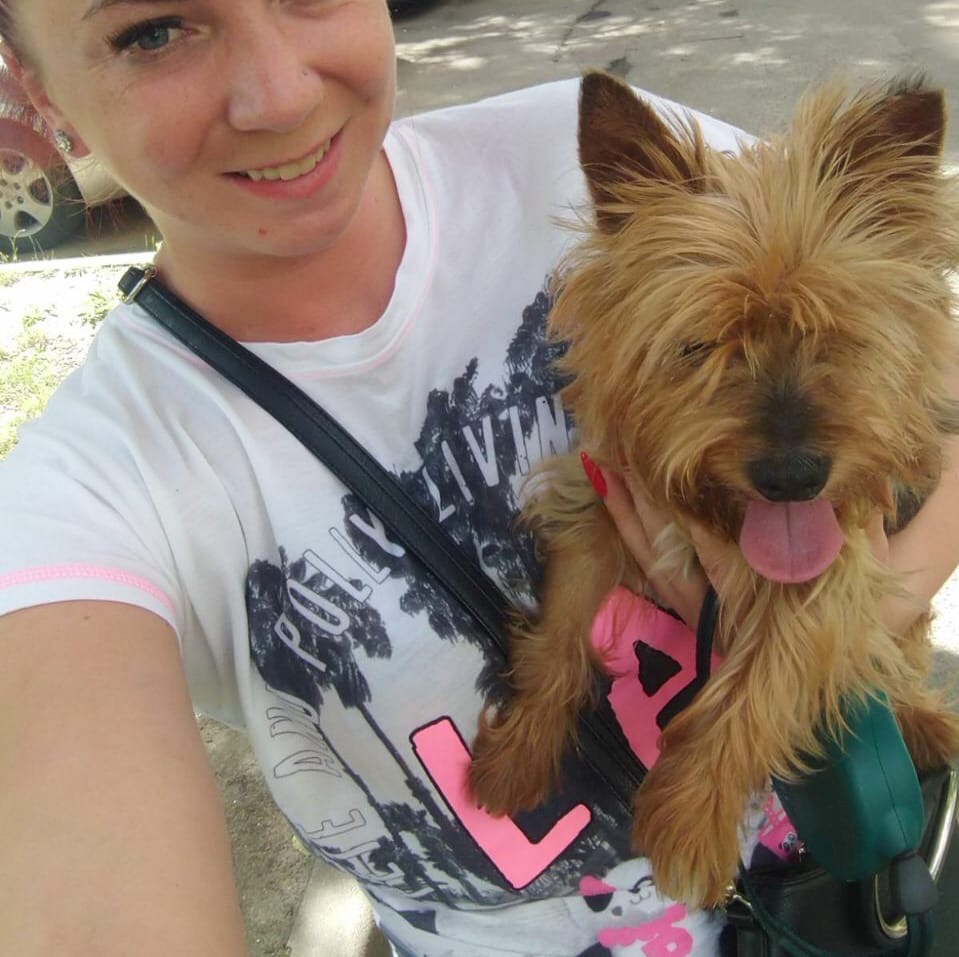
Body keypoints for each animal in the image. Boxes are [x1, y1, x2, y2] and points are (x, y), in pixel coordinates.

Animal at [468, 71, 959, 908]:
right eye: (697, 345)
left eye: (837, 335)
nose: (792, 476)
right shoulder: (596, 505)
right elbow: (560, 636)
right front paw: (519, 754)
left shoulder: (835, 567)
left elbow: (761, 679)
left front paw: (690, 817)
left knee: (891, 657)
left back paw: (924, 720)